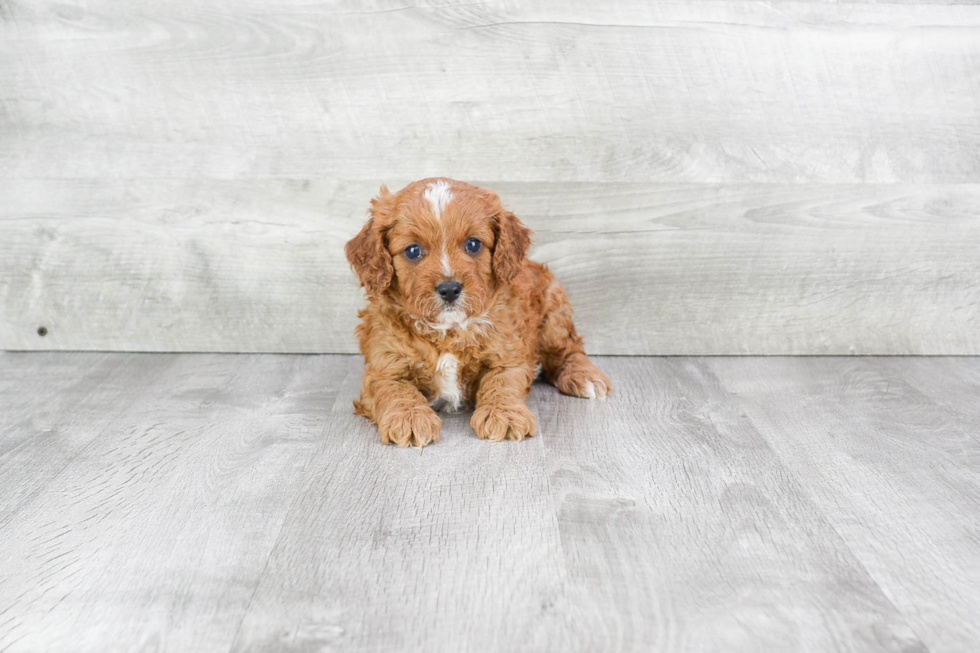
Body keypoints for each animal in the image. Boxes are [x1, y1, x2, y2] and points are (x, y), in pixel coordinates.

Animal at [346, 177, 612, 448]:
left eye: (473, 244)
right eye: (412, 250)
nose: (450, 289)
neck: (449, 330)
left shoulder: (508, 354)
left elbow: (501, 382)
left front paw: (505, 415)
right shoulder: (384, 366)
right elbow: (395, 390)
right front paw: (409, 418)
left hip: (553, 313)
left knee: (570, 349)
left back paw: (584, 377)